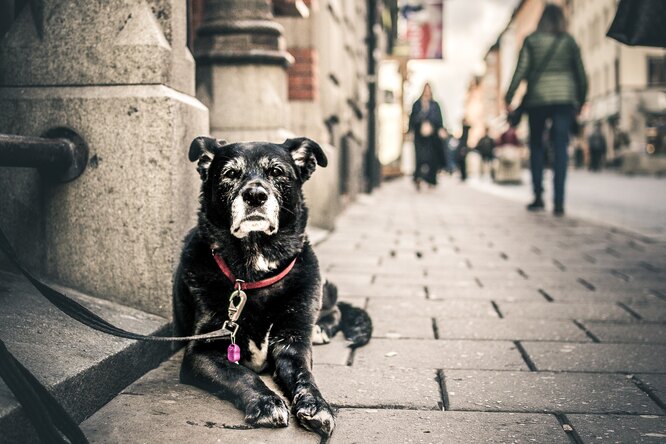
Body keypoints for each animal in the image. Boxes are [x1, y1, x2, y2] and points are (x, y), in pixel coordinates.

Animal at [172, 137, 368, 438]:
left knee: (334, 309)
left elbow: (305, 377)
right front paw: (266, 402)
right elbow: (241, 373)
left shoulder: (292, 346)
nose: (255, 195)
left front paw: (317, 404)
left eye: (276, 171)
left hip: (319, 286)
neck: (253, 277)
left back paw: (320, 329)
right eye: (230, 173)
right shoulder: (201, 351)